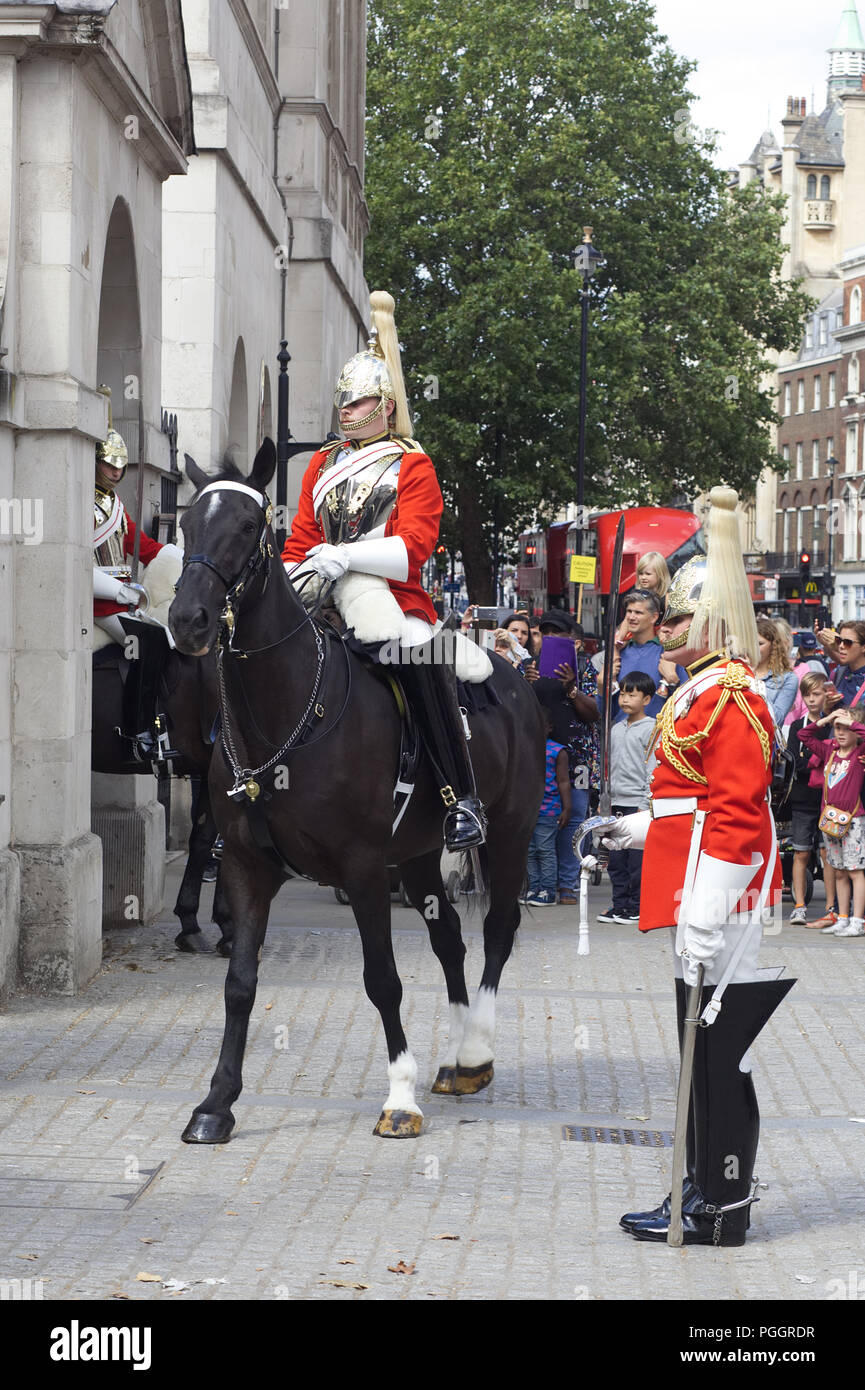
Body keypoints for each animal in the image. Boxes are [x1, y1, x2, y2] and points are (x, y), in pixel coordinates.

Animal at [171, 442, 542, 1139]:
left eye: (248, 527)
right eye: (184, 524)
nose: (188, 620)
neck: (288, 713)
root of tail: (513, 676)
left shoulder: (364, 867)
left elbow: (383, 979)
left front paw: (399, 1098)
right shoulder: (245, 866)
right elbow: (239, 982)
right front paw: (216, 1103)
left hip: (508, 832)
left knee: (498, 928)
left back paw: (476, 1051)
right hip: (420, 854)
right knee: (450, 935)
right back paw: (458, 1057)